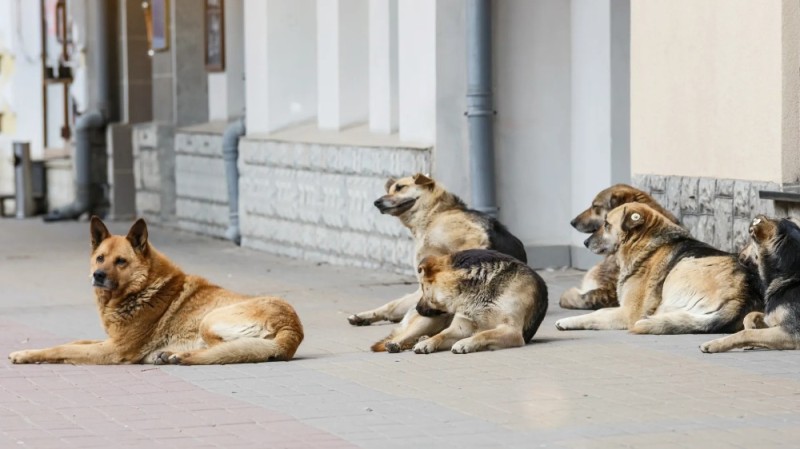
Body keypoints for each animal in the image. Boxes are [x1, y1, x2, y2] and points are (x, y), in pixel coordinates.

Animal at [9, 216, 304, 364]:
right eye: (100, 258)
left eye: (121, 261)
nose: (98, 275)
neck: (143, 288)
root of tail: (292, 329)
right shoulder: (108, 341)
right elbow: (73, 343)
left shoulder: (113, 350)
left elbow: (61, 349)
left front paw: (26, 355)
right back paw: (171, 355)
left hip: (209, 320)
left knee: (222, 349)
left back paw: (176, 356)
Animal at [348, 173, 528, 352]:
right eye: (391, 190)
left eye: (400, 187)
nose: (377, 202)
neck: (436, 213)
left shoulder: (475, 238)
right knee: (393, 309)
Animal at [410, 248, 548, 354]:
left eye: (422, 287)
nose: (416, 308)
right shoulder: (461, 327)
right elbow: (442, 334)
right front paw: (427, 342)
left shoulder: (512, 331)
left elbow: (484, 334)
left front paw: (466, 343)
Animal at [552, 203, 760, 332]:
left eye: (606, 224)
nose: (585, 242)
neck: (645, 244)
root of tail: (742, 296)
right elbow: (600, 311)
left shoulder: (629, 312)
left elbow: (594, 316)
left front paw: (568, 321)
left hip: (681, 267)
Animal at [700, 215, 800, 352]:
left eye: (750, 241)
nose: (739, 254)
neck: (789, 272)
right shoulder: (772, 320)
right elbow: (751, 315)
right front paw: (751, 329)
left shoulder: (791, 333)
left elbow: (745, 333)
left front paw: (714, 344)